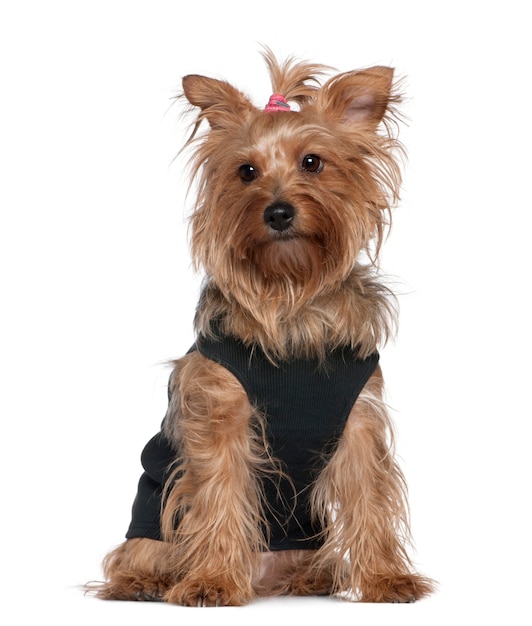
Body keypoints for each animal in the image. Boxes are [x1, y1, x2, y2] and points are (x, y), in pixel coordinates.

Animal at [91, 46, 432, 604]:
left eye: (312, 162)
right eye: (246, 171)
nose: (278, 212)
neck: (290, 297)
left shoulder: (359, 420)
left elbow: (369, 497)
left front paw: (386, 578)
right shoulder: (222, 416)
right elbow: (220, 495)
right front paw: (211, 581)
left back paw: (314, 578)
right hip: (152, 518)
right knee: (133, 558)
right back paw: (148, 582)